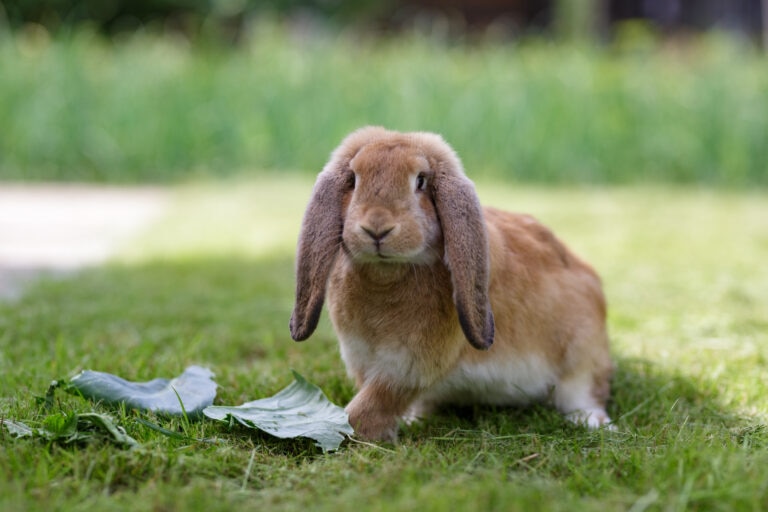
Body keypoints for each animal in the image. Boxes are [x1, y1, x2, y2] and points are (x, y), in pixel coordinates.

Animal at [290, 126, 613, 442]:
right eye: (354, 179)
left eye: (421, 181)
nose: (377, 228)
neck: (385, 274)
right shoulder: (362, 358)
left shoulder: (409, 368)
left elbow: (370, 406)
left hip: (582, 358)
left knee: (585, 395)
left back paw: (594, 423)